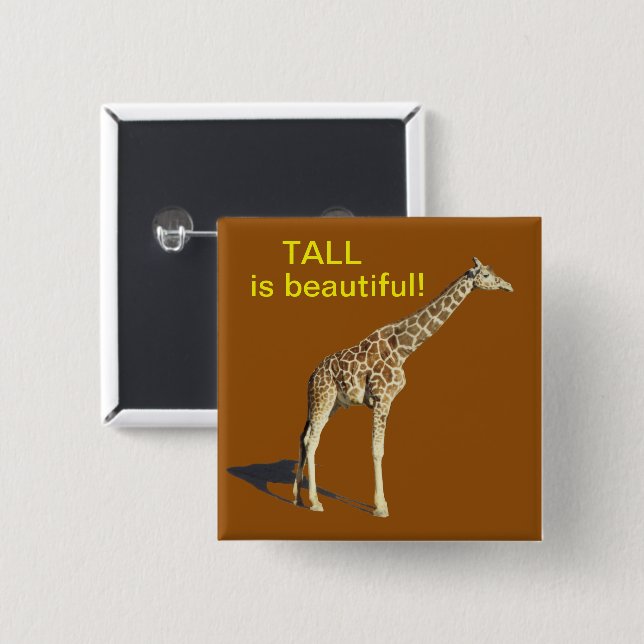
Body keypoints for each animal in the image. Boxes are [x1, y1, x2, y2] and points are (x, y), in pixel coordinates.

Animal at [292, 257, 513, 517]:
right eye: (486, 275)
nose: (508, 285)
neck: (403, 348)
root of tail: (311, 376)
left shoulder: (386, 400)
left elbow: (379, 449)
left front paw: (380, 504)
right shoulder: (382, 398)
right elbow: (377, 450)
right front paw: (381, 507)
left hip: (330, 403)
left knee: (305, 436)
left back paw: (297, 497)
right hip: (323, 398)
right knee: (312, 440)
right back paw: (315, 501)